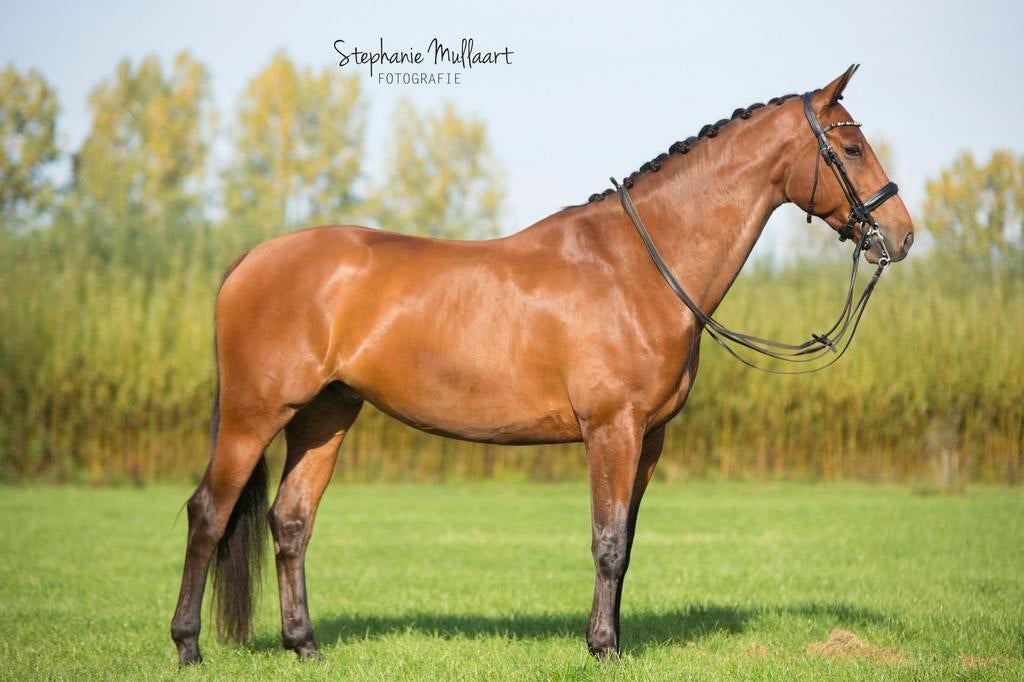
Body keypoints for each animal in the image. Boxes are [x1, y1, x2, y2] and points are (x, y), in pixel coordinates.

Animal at [171, 65, 914, 664]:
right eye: (850, 146)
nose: (902, 235)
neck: (637, 266)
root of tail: (251, 259)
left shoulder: (649, 438)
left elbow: (627, 542)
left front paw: (610, 640)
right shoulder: (612, 429)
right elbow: (607, 541)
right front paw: (604, 648)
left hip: (325, 415)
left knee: (291, 522)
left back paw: (304, 646)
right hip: (255, 414)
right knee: (209, 512)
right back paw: (187, 646)